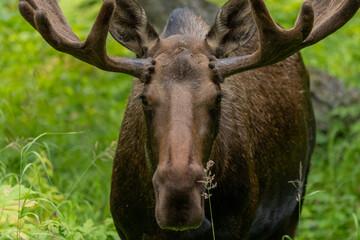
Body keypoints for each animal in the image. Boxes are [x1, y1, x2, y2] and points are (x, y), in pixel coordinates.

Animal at [18, 0, 358, 238]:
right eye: (144, 97)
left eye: (218, 96)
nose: (178, 197)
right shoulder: (128, 227)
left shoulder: (238, 224)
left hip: (294, 201)